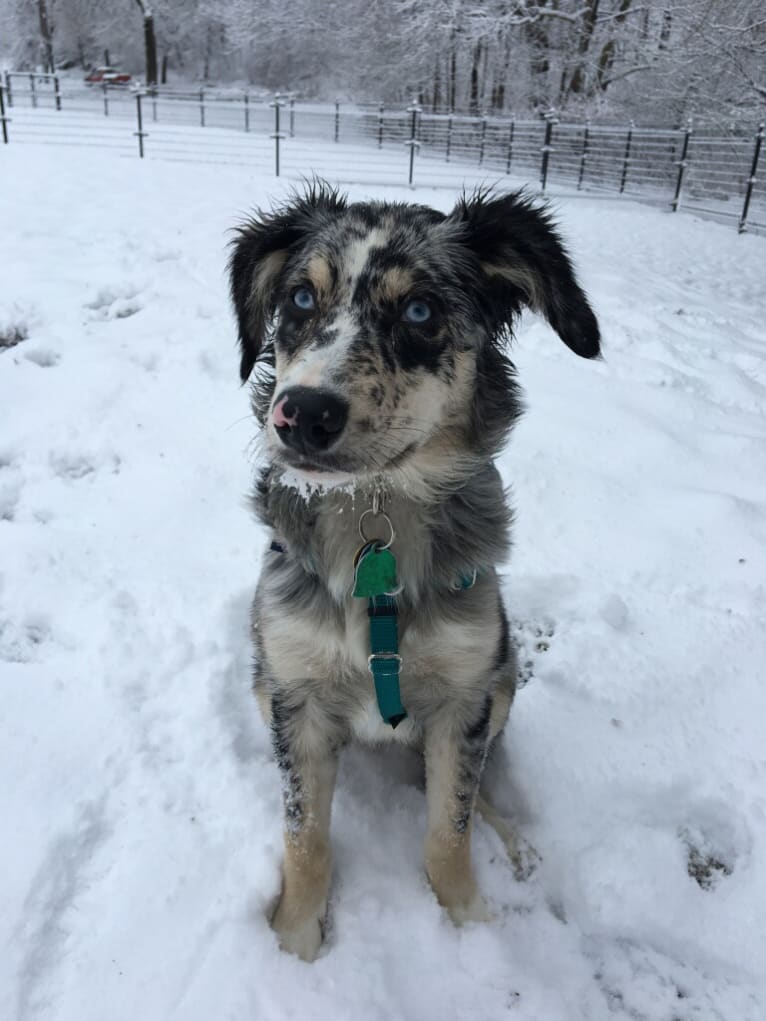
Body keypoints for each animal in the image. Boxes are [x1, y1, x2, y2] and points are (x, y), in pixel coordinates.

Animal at [227, 181, 600, 955]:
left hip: (504, 674)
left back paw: (513, 843)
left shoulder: (465, 691)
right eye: (300, 299)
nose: (301, 413)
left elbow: (448, 824)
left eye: (421, 311)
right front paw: (295, 940)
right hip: (261, 682)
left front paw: (468, 921)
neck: (375, 517)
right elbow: (305, 836)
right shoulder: (294, 690)